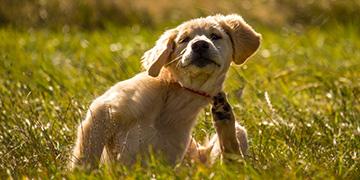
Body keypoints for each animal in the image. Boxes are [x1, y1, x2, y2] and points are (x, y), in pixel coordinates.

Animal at [71, 13, 262, 169]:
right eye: (184, 39)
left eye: (215, 36)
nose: (200, 45)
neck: (176, 95)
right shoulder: (103, 110)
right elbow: (86, 156)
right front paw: (82, 173)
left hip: (236, 135)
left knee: (232, 163)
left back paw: (223, 114)